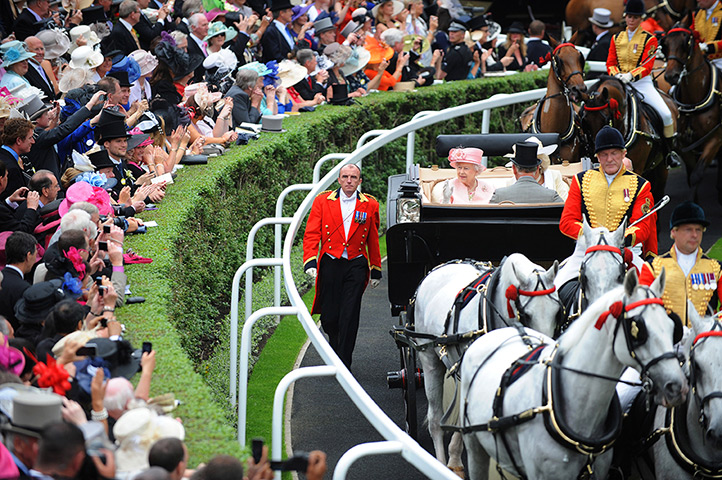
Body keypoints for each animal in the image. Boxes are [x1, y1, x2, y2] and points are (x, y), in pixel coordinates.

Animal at [410, 255, 556, 472]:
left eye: (557, 312)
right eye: (526, 314)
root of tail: (439, 268)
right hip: (429, 359)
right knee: (435, 418)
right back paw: (440, 462)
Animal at [660, 16, 720, 202]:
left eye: (686, 42)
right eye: (665, 43)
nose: (671, 76)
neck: (694, 101)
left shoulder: (714, 139)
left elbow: (697, 175)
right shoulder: (683, 144)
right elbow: (691, 175)